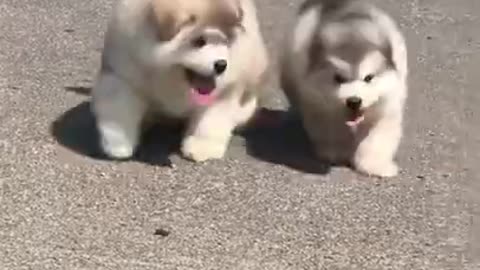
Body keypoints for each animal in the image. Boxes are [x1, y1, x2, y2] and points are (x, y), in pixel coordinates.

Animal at [91, 0, 270, 161]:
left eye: (224, 41)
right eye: (199, 41)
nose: (221, 65)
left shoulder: (225, 90)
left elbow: (210, 120)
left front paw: (202, 147)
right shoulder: (123, 75)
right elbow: (119, 111)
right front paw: (119, 145)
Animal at [282, 0, 408, 178]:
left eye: (368, 78)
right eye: (339, 78)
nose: (354, 101)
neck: (353, 32)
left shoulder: (386, 104)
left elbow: (377, 138)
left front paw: (374, 165)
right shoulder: (318, 103)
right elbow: (331, 128)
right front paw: (336, 153)